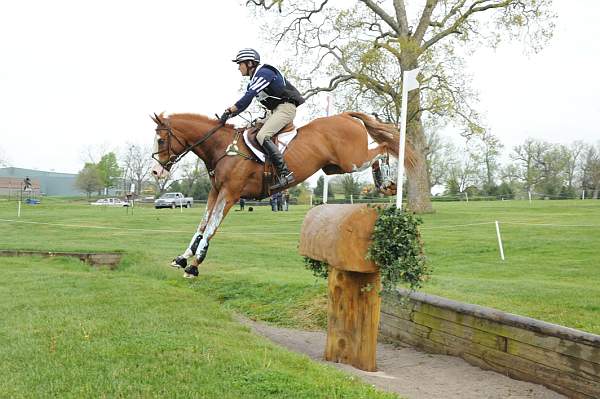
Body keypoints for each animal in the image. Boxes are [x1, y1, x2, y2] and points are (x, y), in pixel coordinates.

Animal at [151, 111, 412, 278]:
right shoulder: (215, 192)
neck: (223, 148)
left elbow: (212, 228)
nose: (155, 171)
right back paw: (385, 183)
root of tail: (345, 116)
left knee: (382, 149)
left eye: (161, 140)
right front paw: (183, 257)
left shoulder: (230, 194)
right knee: (378, 151)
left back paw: (387, 183)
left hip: (351, 160)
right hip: (335, 166)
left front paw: (194, 266)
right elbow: (202, 224)